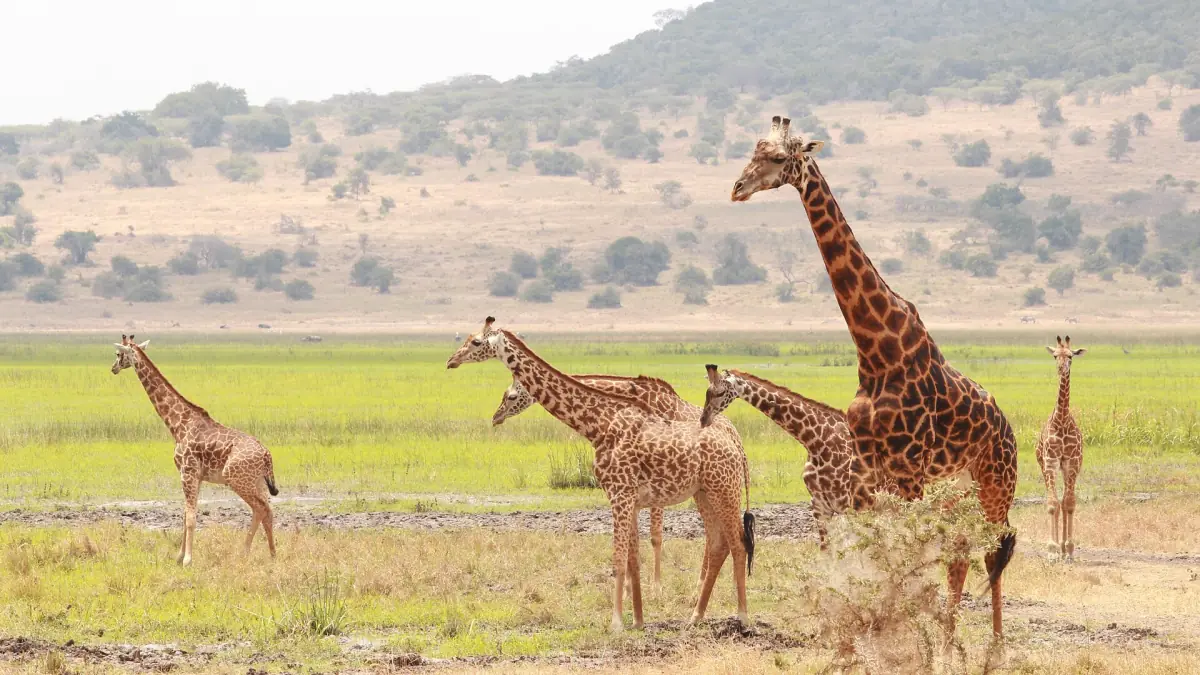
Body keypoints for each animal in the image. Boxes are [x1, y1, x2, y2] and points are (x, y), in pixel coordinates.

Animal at [111, 334, 279, 565]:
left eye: (119, 354)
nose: (113, 368)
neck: (177, 424)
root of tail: (266, 455)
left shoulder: (187, 472)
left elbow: (190, 517)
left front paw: (188, 559)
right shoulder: (195, 476)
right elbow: (184, 514)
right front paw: (179, 556)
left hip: (236, 479)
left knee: (259, 509)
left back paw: (244, 553)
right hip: (257, 481)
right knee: (268, 510)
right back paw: (272, 555)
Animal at [699, 365, 894, 546]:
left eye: (720, 392)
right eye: (707, 392)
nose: (704, 419)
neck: (816, 443)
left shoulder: (851, 504)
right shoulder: (819, 506)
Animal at [730, 116, 1019, 639]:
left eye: (779, 158)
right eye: (752, 151)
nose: (737, 188)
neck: (877, 350)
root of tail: (1008, 428)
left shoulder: (907, 470)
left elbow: (905, 552)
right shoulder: (870, 469)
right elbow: (881, 552)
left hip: (994, 481)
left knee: (993, 548)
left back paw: (995, 642)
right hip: (955, 490)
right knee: (960, 554)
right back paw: (948, 635)